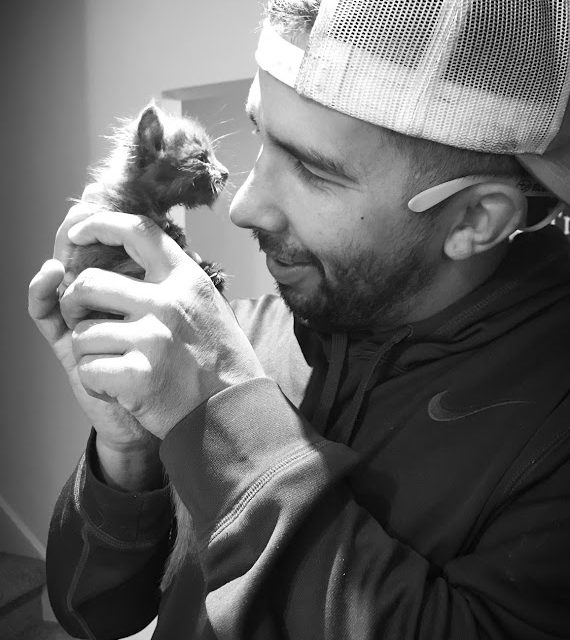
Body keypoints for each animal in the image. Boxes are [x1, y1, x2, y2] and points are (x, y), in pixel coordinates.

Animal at [69, 104, 231, 592]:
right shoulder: (104, 253)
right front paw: (204, 267)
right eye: (202, 158)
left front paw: (208, 269)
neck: (142, 206)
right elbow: (133, 265)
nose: (226, 174)